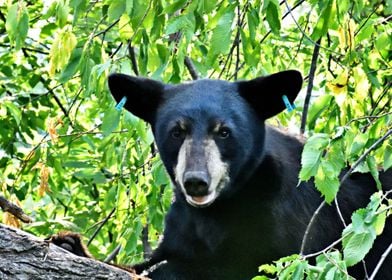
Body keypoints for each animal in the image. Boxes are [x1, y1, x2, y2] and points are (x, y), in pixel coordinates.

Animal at [53, 71, 390, 278]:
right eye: (177, 131)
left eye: (224, 131)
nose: (196, 182)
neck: (220, 208)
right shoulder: (183, 225)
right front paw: (70, 244)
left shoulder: (289, 223)